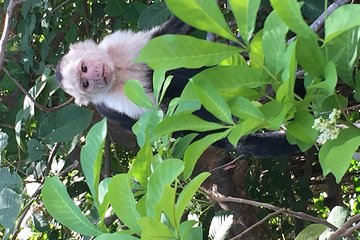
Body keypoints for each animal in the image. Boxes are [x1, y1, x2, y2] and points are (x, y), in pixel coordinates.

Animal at [55, 16, 298, 156]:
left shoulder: (118, 44)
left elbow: (162, 38)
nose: (96, 76)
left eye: (84, 68)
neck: (118, 71)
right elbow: (167, 116)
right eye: (85, 83)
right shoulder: (111, 103)